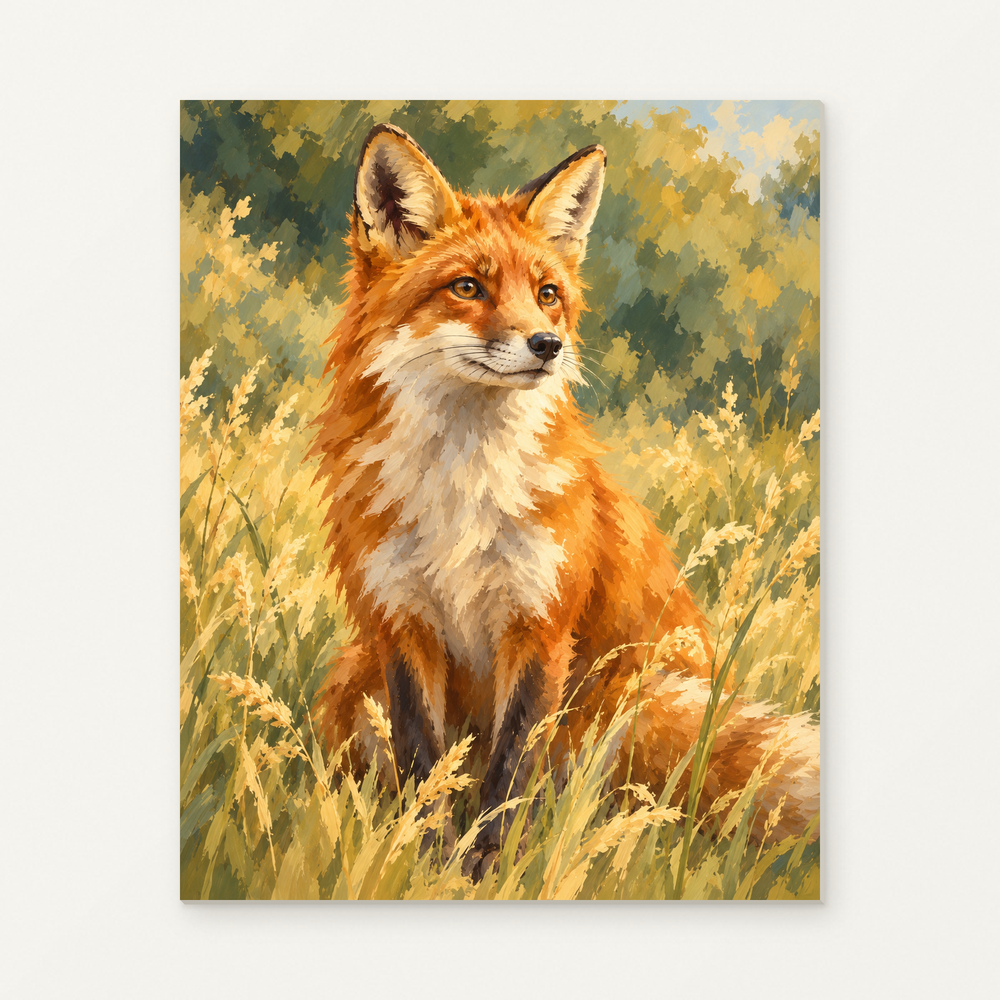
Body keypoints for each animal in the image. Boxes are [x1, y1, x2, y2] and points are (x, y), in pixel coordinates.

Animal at [310, 123, 819, 862]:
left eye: (548, 293)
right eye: (467, 287)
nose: (547, 344)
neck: (463, 483)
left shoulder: (539, 622)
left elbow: (510, 771)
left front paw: (488, 866)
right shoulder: (399, 621)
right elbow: (424, 766)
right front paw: (423, 860)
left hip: (630, 701)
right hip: (355, 677)